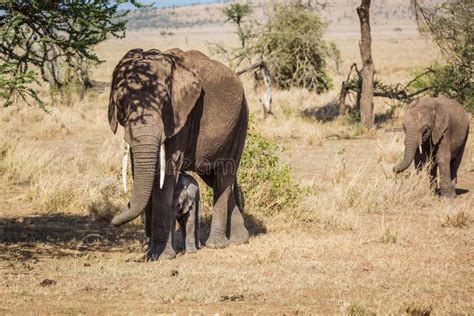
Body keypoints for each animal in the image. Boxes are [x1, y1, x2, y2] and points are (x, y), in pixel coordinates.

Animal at [107, 48, 248, 260]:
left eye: (164, 102)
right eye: (121, 102)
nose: (112, 221)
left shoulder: (181, 117)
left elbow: (166, 172)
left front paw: (161, 255)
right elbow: (140, 170)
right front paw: (148, 250)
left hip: (240, 119)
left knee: (224, 175)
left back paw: (217, 244)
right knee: (215, 177)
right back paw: (241, 239)